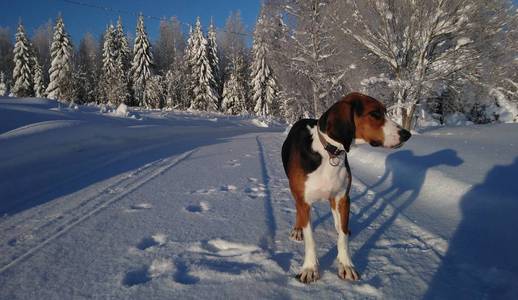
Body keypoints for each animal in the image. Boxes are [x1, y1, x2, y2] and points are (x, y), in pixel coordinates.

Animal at [282, 92, 412, 282]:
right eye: (374, 114)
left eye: (385, 112)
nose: (407, 134)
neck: (329, 152)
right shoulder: (304, 201)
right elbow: (310, 239)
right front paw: (310, 268)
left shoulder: (343, 197)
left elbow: (342, 236)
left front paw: (346, 265)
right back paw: (298, 229)